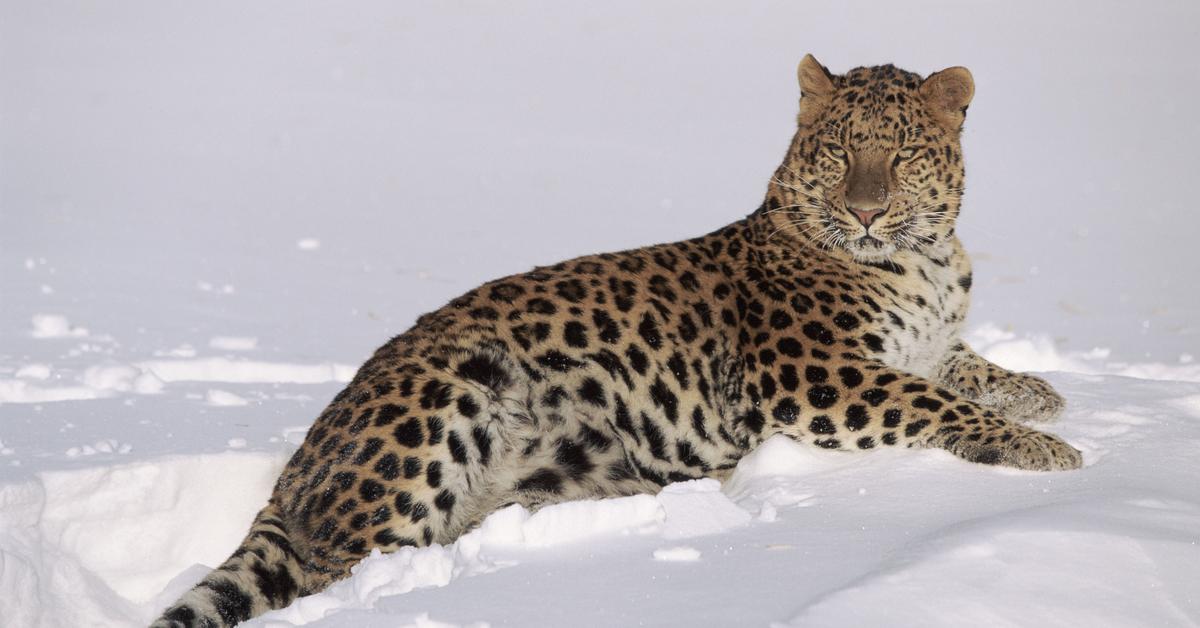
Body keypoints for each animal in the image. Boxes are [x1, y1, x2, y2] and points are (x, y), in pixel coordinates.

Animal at [150, 55, 1080, 628]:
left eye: (905, 152)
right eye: (840, 151)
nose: (866, 210)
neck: (925, 260)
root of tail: (298, 464)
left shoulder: (924, 342)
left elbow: (962, 368)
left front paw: (1042, 394)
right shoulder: (810, 375)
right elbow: (928, 400)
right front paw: (1046, 451)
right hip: (445, 400)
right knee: (334, 575)